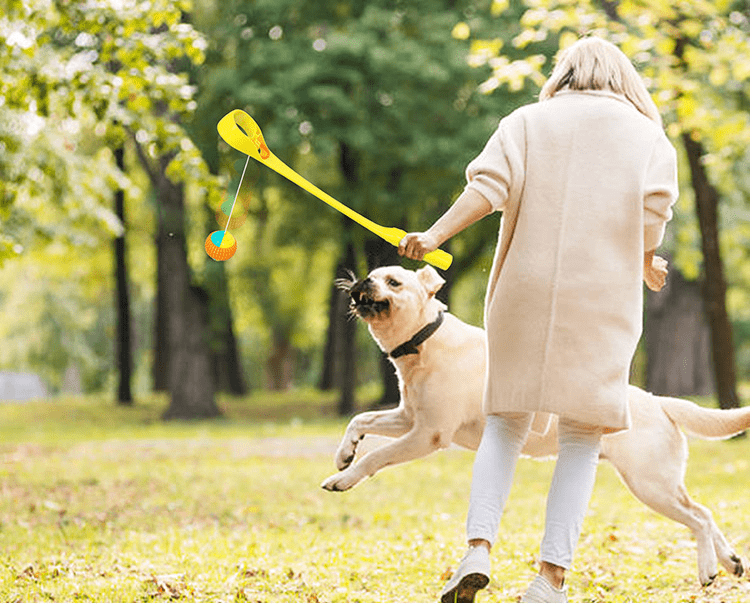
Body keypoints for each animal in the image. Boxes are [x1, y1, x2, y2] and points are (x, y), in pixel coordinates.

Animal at [320, 264, 748, 584]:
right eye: (372, 274)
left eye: (393, 281)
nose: (362, 281)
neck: (424, 343)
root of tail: (660, 402)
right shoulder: (409, 416)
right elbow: (361, 419)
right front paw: (344, 454)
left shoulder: (428, 434)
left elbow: (376, 458)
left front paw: (345, 478)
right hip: (662, 484)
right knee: (704, 512)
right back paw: (729, 561)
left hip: (650, 485)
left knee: (698, 518)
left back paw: (708, 569)